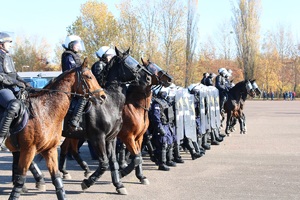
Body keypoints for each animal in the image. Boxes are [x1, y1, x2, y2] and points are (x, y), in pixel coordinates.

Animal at [4, 58, 106, 200]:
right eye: (89, 76)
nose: (102, 96)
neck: (45, 111)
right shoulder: (28, 149)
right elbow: (21, 178)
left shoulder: (49, 149)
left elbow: (56, 179)